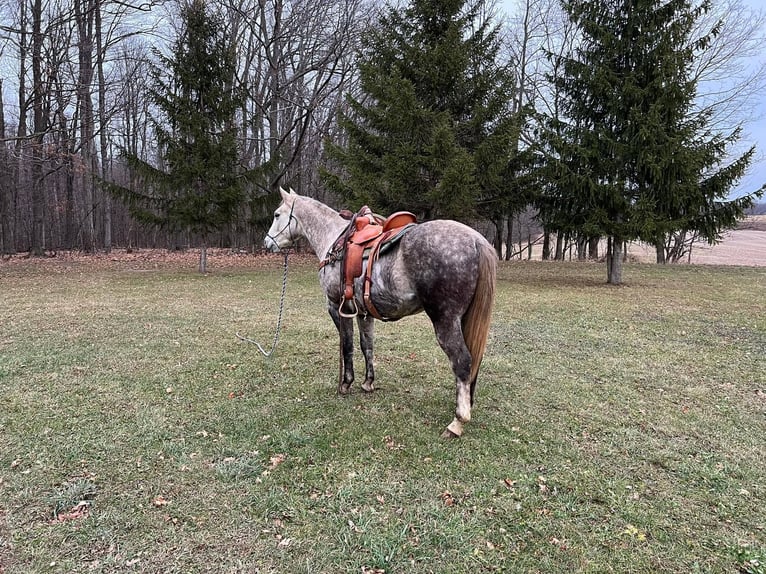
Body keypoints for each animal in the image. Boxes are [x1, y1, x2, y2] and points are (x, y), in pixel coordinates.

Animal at [264, 189, 498, 440]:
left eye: (277, 214)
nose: (267, 242)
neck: (333, 239)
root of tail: (475, 240)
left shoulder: (337, 307)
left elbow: (347, 346)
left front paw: (345, 384)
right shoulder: (363, 313)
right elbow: (367, 345)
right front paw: (368, 383)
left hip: (445, 320)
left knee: (462, 361)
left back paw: (457, 422)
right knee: (474, 360)